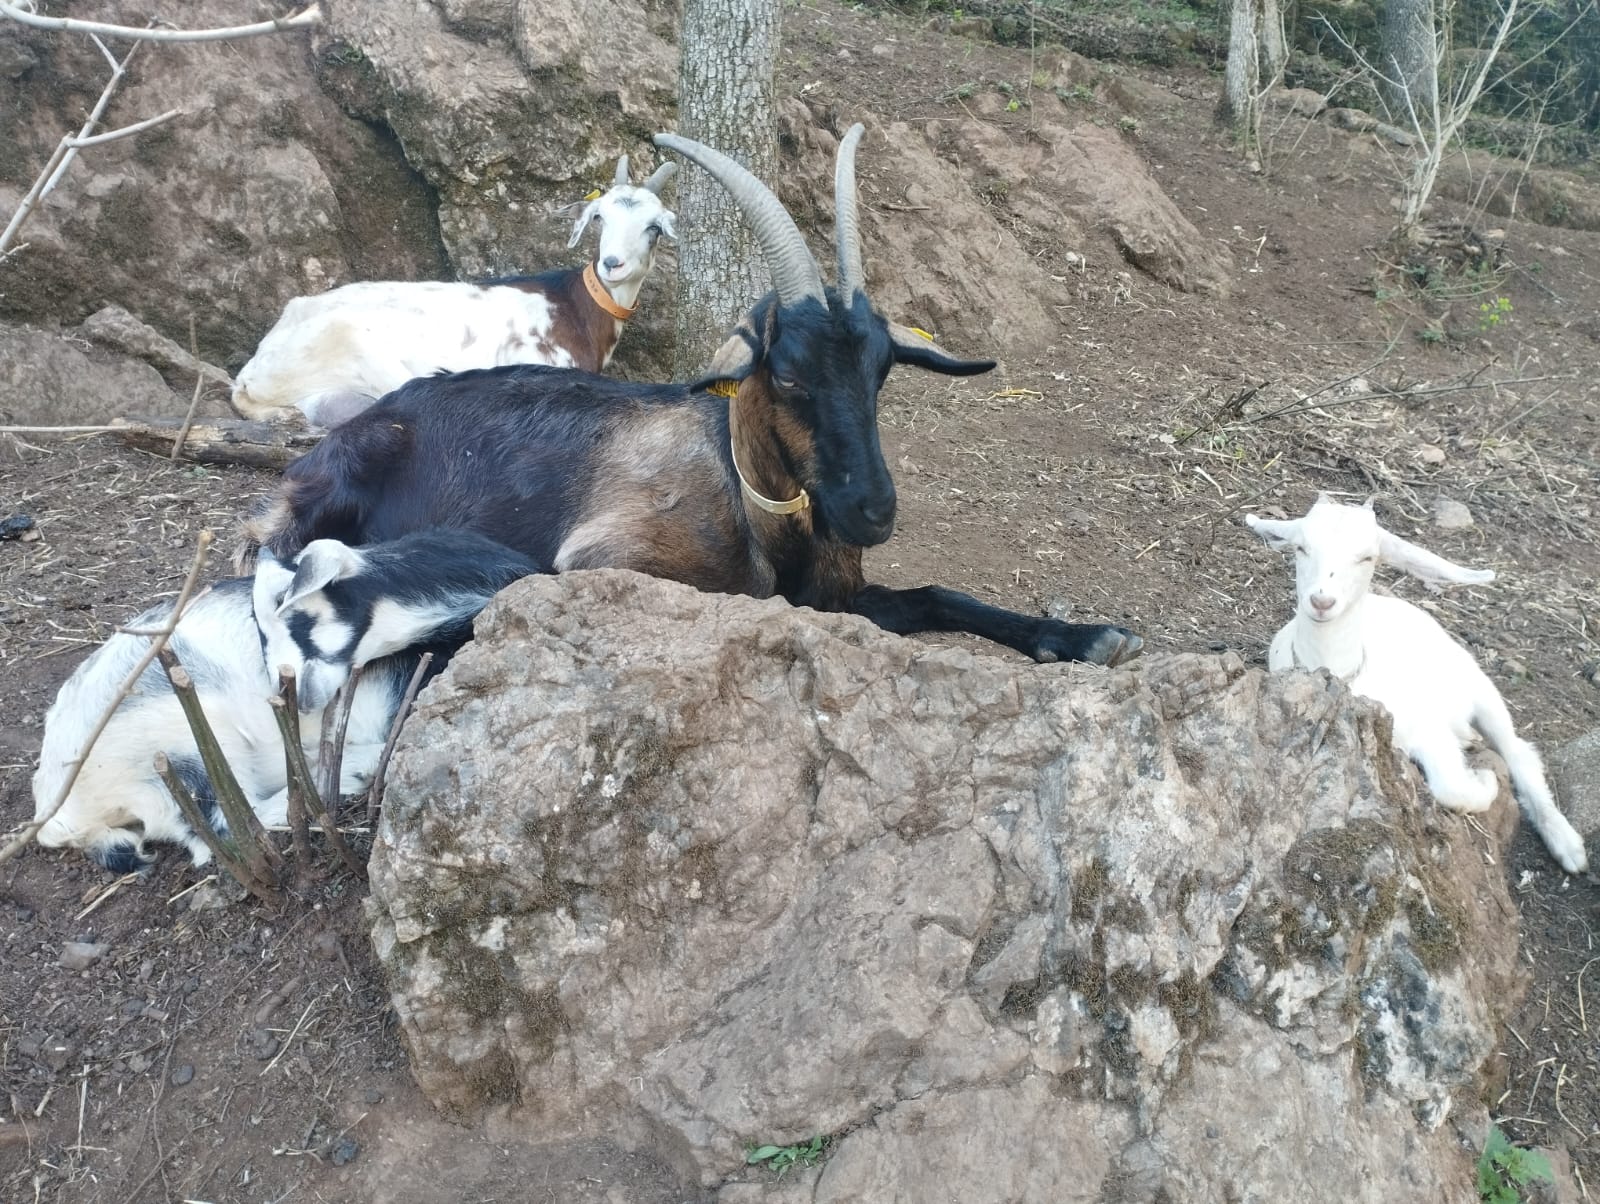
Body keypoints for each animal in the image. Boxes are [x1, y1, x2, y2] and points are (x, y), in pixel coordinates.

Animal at [33, 530, 537, 872]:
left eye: (298, 620)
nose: (288, 690)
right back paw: (349, 773)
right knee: (225, 829)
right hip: (185, 740)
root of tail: (59, 812)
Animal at [231, 156, 678, 428]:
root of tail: (250, 373)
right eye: (600, 217)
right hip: (355, 344)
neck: (572, 307)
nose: (612, 264)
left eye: (654, 227)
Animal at [1247, 498, 1586, 873]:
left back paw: (1568, 846)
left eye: (1367, 558)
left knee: (1518, 752)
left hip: (1480, 687)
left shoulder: (1429, 729)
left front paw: (1484, 780)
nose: (1322, 602)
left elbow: (1452, 787)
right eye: (1301, 548)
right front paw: (1483, 780)